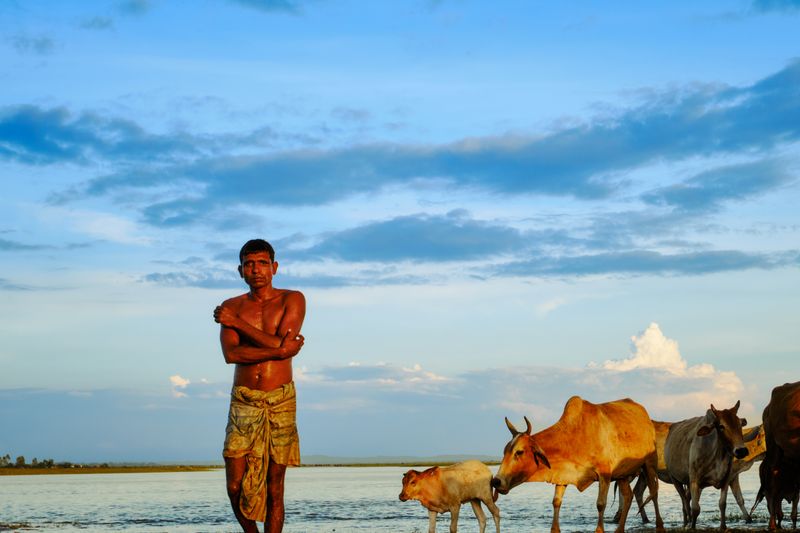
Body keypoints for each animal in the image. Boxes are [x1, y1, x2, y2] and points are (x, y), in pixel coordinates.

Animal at [491, 396, 665, 533]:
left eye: (519, 452)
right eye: (504, 451)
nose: (496, 481)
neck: (575, 437)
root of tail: (644, 415)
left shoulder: (605, 474)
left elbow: (600, 504)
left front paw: (599, 530)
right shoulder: (563, 475)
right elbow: (556, 502)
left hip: (649, 464)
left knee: (654, 493)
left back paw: (660, 526)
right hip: (622, 474)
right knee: (628, 496)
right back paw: (619, 529)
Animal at [663, 400, 748, 530]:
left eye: (739, 424)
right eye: (721, 426)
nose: (741, 450)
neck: (718, 455)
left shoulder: (727, 478)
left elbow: (722, 504)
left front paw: (723, 526)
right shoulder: (694, 479)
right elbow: (695, 508)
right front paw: (693, 527)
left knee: (687, 499)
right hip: (675, 479)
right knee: (685, 503)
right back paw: (687, 524)